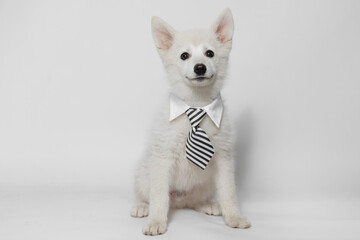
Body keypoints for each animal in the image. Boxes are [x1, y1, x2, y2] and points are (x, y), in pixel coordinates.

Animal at [131, 8, 252, 235]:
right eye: (184, 56)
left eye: (209, 53)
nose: (200, 67)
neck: (197, 105)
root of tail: (179, 201)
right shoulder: (163, 157)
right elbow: (158, 196)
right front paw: (156, 221)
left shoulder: (223, 157)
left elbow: (229, 192)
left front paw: (234, 216)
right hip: (144, 173)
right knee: (148, 195)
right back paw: (142, 207)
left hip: (207, 183)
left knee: (194, 201)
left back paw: (207, 205)